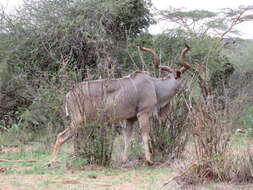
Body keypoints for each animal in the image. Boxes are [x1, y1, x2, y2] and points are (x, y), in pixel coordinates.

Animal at [48, 43, 190, 166]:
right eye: (182, 78)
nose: (187, 89)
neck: (155, 86)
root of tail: (69, 93)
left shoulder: (130, 118)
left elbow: (127, 137)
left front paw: (124, 160)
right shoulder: (143, 113)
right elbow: (145, 135)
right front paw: (149, 160)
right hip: (78, 120)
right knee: (61, 136)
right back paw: (51, 163)